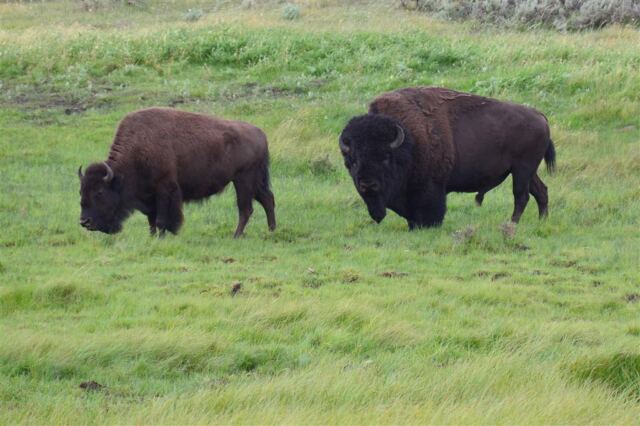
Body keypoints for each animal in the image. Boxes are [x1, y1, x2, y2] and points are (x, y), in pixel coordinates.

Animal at [78, 108, 276, 237]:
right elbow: (151, 219)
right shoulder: (149, 197)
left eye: (99, 192)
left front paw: (163, 235)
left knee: (246, 209)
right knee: (267, 199)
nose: (84, 222)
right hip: (254, 181)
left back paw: (236, 235)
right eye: (81, 191)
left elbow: (161, 219)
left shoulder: (165, 189)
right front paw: (152, 236)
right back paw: (272, 230)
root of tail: (261, 134)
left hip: (243, 180)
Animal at [339, 87, 555, 229]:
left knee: (521, 196)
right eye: (353, 161)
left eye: (385, 157)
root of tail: (539, 116)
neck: (409, 139)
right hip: (527, 171)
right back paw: (542, 222)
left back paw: (512, 224)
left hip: (522, 169)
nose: (368, 184)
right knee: (541, 191)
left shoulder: (431, 188)